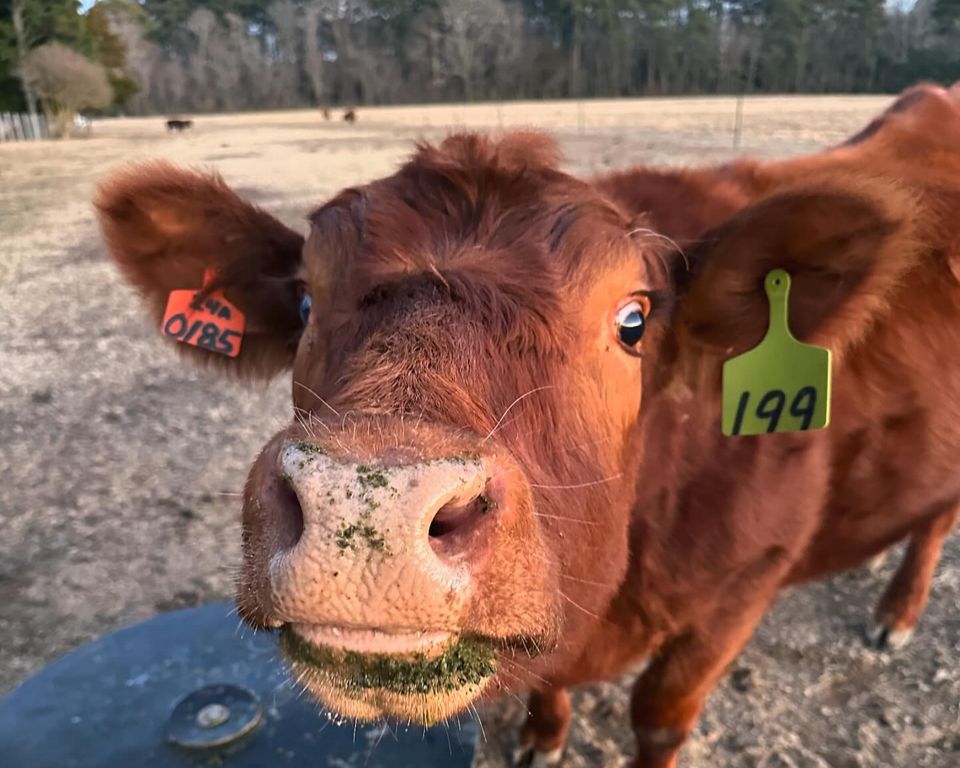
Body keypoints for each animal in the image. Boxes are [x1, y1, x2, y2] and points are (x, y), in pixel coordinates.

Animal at [94, 82, 960, 768]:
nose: (367, 507)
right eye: (305, 301)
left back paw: (897, 613)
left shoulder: (742, 590)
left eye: (634, 321)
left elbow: (659, 719)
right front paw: (543, 737)